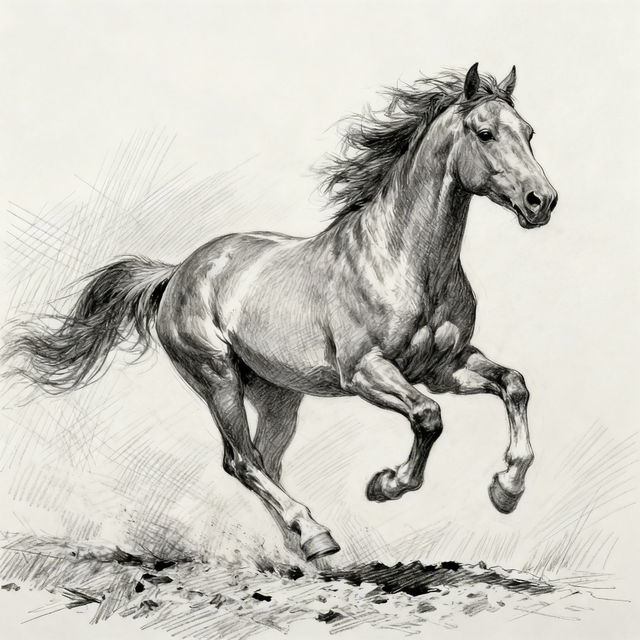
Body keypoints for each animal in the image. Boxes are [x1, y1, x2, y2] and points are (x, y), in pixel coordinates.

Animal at [6, 64, 557, 561]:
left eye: (529, 132)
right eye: (484, 133)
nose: (542, 201)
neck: (405, 261)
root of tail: (179, 271)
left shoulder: (446, 367)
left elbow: (514, 384)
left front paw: (507, 488)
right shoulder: (366, 372)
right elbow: (428, 416)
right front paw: (387, 484)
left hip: (278, 397)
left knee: (265, 461)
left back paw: (306, 549)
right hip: (218, 379)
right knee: (241, 461)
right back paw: (315, 534)